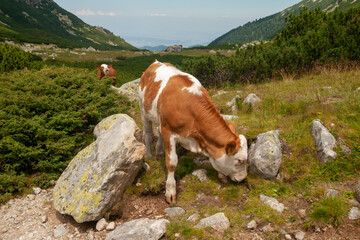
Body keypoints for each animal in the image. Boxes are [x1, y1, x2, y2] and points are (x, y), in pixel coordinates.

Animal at [139, 59, 248, 202]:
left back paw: (159, 152)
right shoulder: (169, 131)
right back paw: (149, 155)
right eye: (240, 160)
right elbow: (172, 162)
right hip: (143, 110)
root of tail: (156, 62)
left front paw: (221, 175)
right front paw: (170, 191)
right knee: (148, 133)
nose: (243, 179)